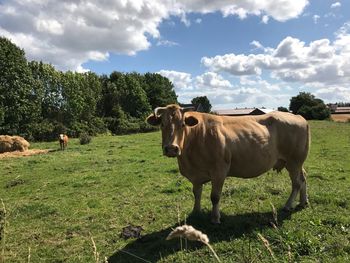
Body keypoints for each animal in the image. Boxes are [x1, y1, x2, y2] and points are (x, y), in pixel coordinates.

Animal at [146, 104, 310, 224]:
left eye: (182, 124)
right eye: (162, 124)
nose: (171, 148)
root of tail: (297, 116)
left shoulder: (219, 171)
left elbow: (215, 196)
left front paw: (215, 218)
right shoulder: (196, 175)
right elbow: (197, 194)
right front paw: (195, 212)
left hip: (294, 160)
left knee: (296, 183)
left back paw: (288, 206)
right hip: (295, 162)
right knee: (303, 178)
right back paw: (303, 202)